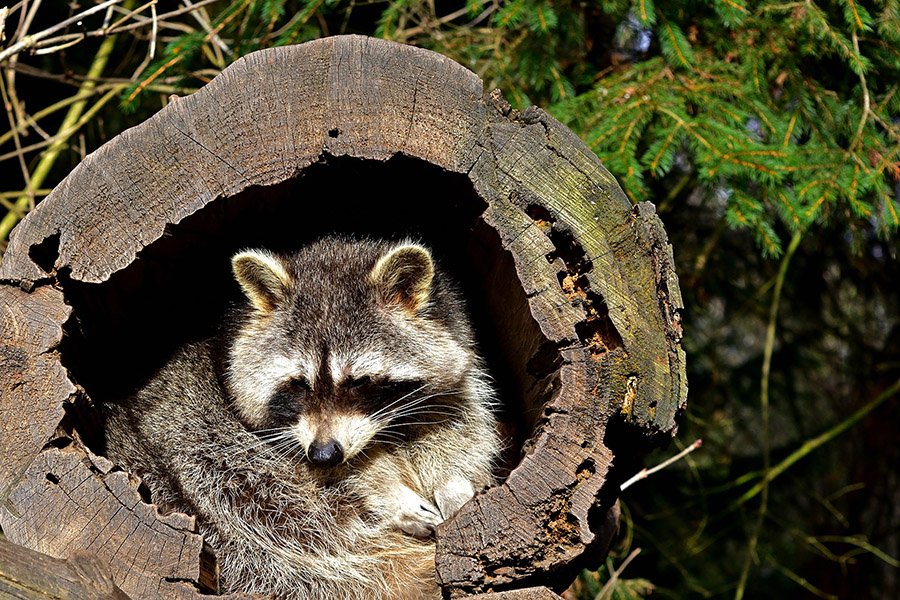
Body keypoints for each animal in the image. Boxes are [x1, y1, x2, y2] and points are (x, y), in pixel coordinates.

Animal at [103, 237, 506, 596]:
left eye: (359, 381)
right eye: (298, 383)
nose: (324, 453)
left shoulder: (455, 379)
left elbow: (460, 427)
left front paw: (453, 482)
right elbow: (340, 475)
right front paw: (386, 490)